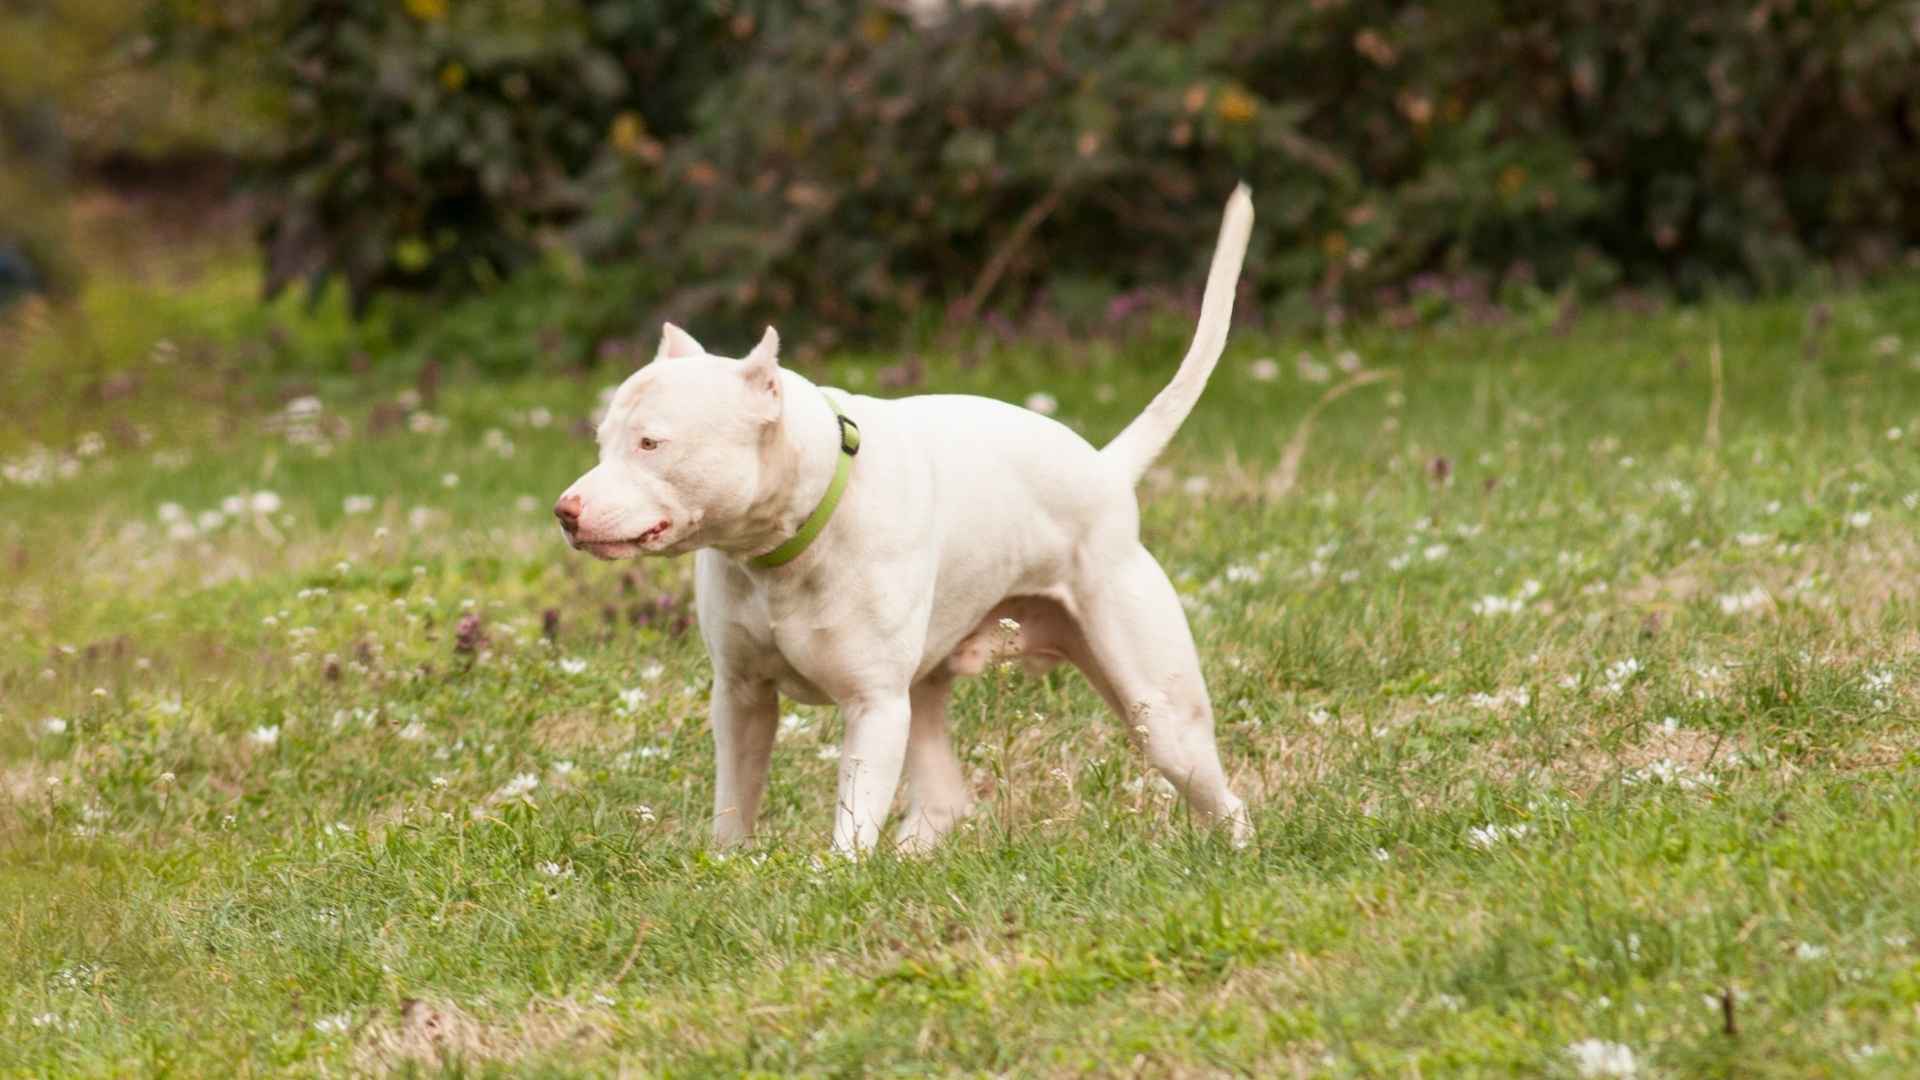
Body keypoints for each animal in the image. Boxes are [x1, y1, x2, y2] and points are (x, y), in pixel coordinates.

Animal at [556, 187, 1259, 857]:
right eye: (601, 442)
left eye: (651, 444)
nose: (566, 511)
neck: (791, 541)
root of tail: (1107, 472)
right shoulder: (741, 696)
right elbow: (736, 799)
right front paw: (726, 864)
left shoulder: (874, 707)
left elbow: (853, 816)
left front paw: (835, 876)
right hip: (930, 692)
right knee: (943, 799)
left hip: (1158, 710)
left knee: (1219, 795)